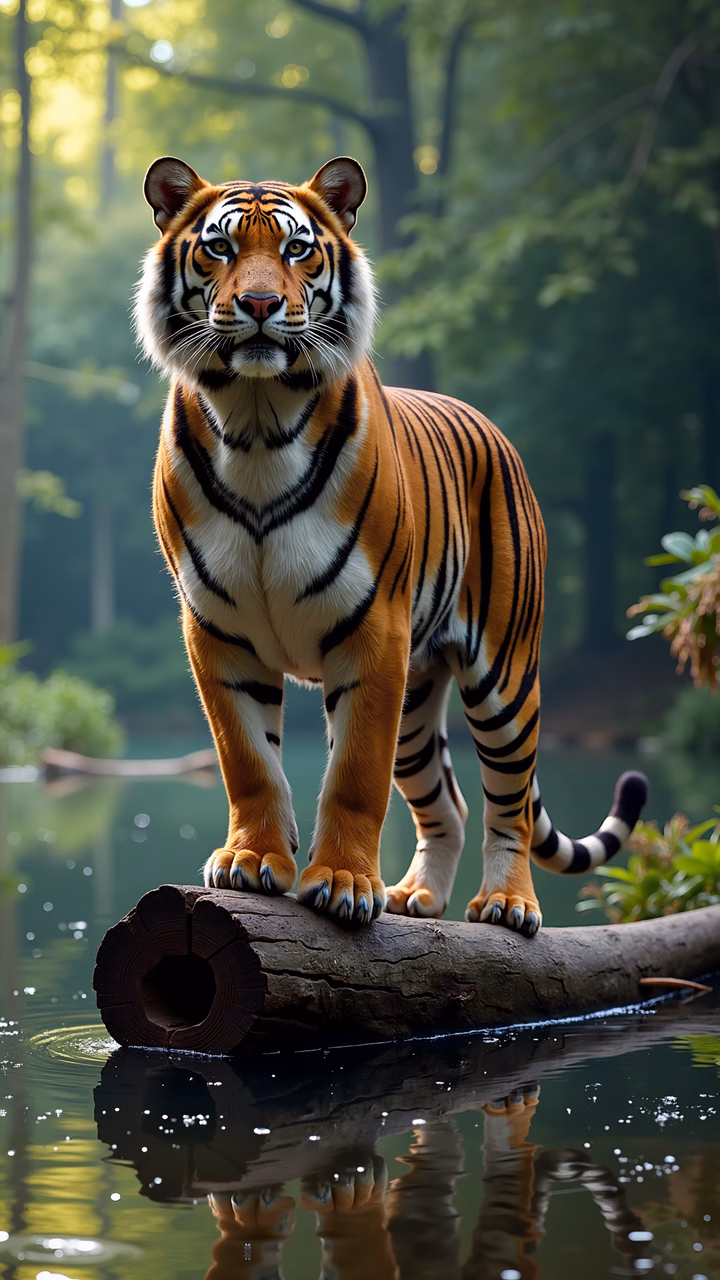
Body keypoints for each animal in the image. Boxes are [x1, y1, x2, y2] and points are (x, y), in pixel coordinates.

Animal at [135, 152, 648, 935]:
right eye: (219, 248)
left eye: (297, 249)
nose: (259, 304)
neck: (256, 420)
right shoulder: (217, 631)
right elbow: (249, 761)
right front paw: (253, 862)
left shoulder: (373, 628)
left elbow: (354, 776)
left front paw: (344, 885)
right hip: (417, 698)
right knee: (450, 804)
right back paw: (417, 898)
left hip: (503, 678)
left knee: (507, 804)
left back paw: (506, 904)